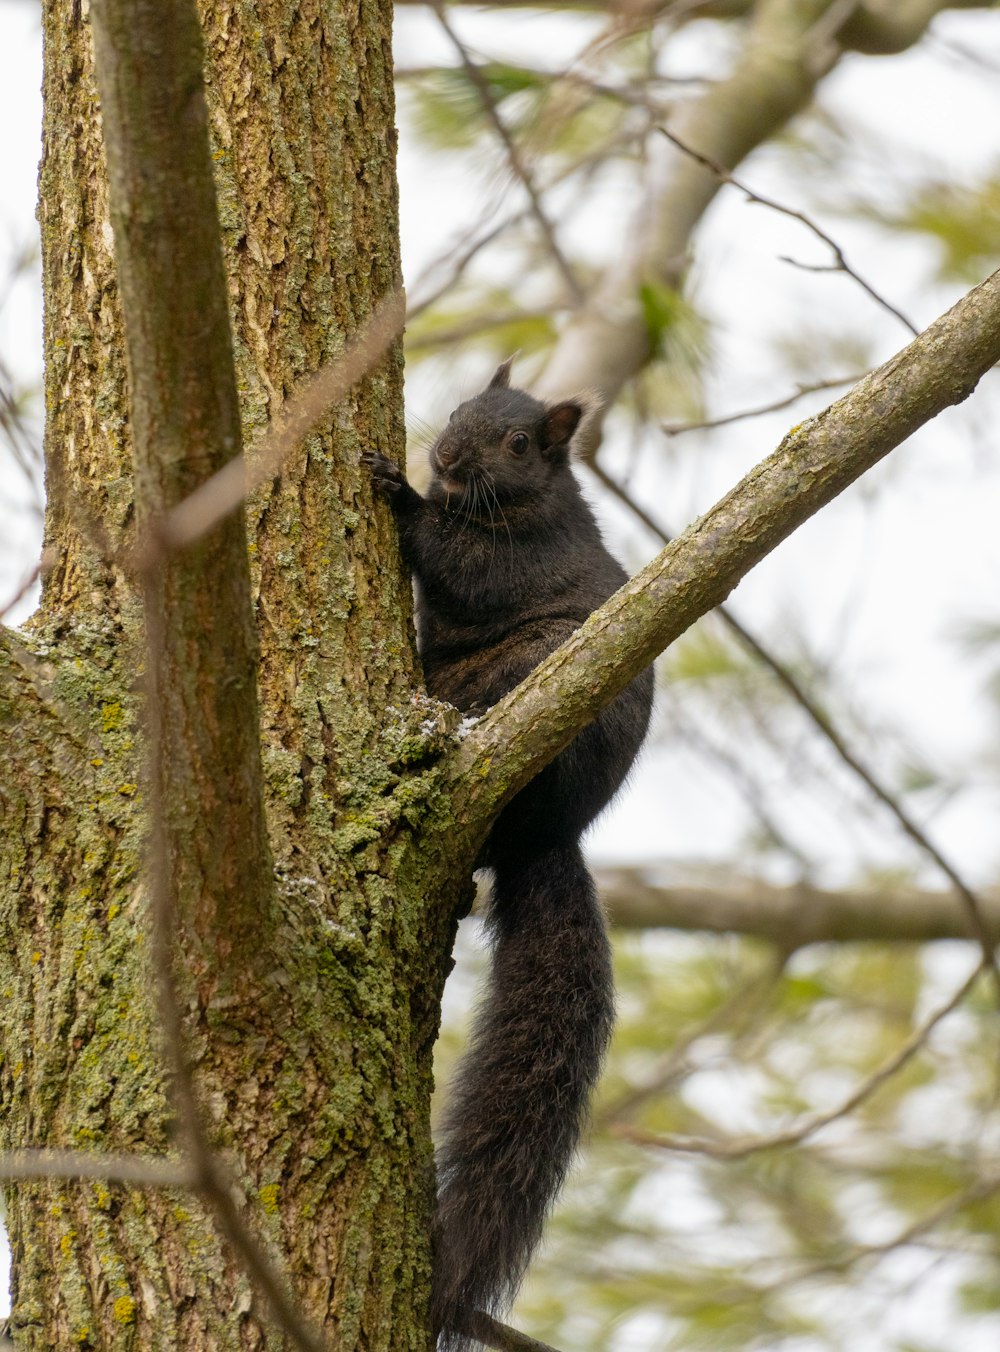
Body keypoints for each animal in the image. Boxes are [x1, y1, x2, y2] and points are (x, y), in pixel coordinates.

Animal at [362, 362, 651, 1352]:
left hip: (543, 671)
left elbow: (465, 565)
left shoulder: (523, 553)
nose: (445, 456)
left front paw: (402, 496)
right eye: (456, 408)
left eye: (520, 443)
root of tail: (549, 835)